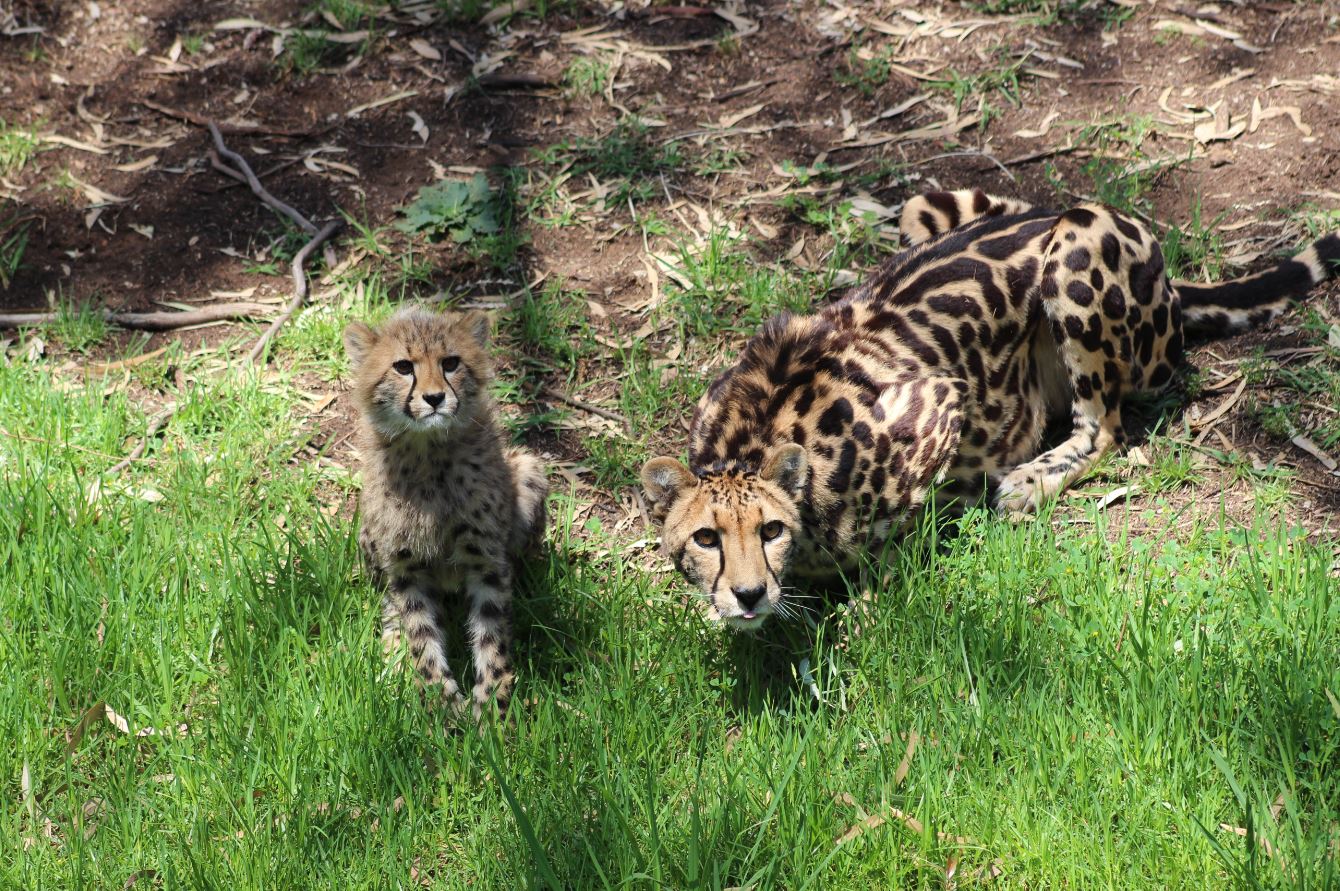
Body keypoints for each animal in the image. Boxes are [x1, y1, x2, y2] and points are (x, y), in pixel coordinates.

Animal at [351, 305, 554, 718]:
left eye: (451, 363)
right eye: (402, 367)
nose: (434, 398)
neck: (427, 453)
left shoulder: (486, 562)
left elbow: (493, 638)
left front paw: (493, 709)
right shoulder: (405, 569)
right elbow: (420, 637)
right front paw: (441, 703)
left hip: (527, 471)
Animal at [640, 188, 1340, 624]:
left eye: (770, 529)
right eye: (706, 538)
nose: (749, 595)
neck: (758, 442)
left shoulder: (937, 405)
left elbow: (889, 541)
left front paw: (870, 596)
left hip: (1081, 251)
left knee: (1105, 428)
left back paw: (1028, 481)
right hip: (922, 208)